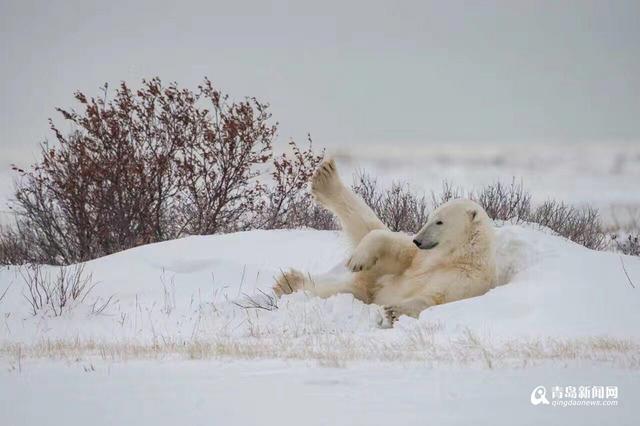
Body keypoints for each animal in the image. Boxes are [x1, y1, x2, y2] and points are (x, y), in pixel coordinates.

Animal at [272, 159, 498, 322]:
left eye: (440, 222)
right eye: (429, 217)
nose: (418, 240)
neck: (453, 257)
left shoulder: (466, 280)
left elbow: (436, 298)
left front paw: (394, 311)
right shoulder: (420, 259)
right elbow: (397, 249)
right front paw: (357, 260)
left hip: (366, 290)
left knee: (342, 290)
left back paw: (288, 283)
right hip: (376, 275)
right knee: (367, 227)